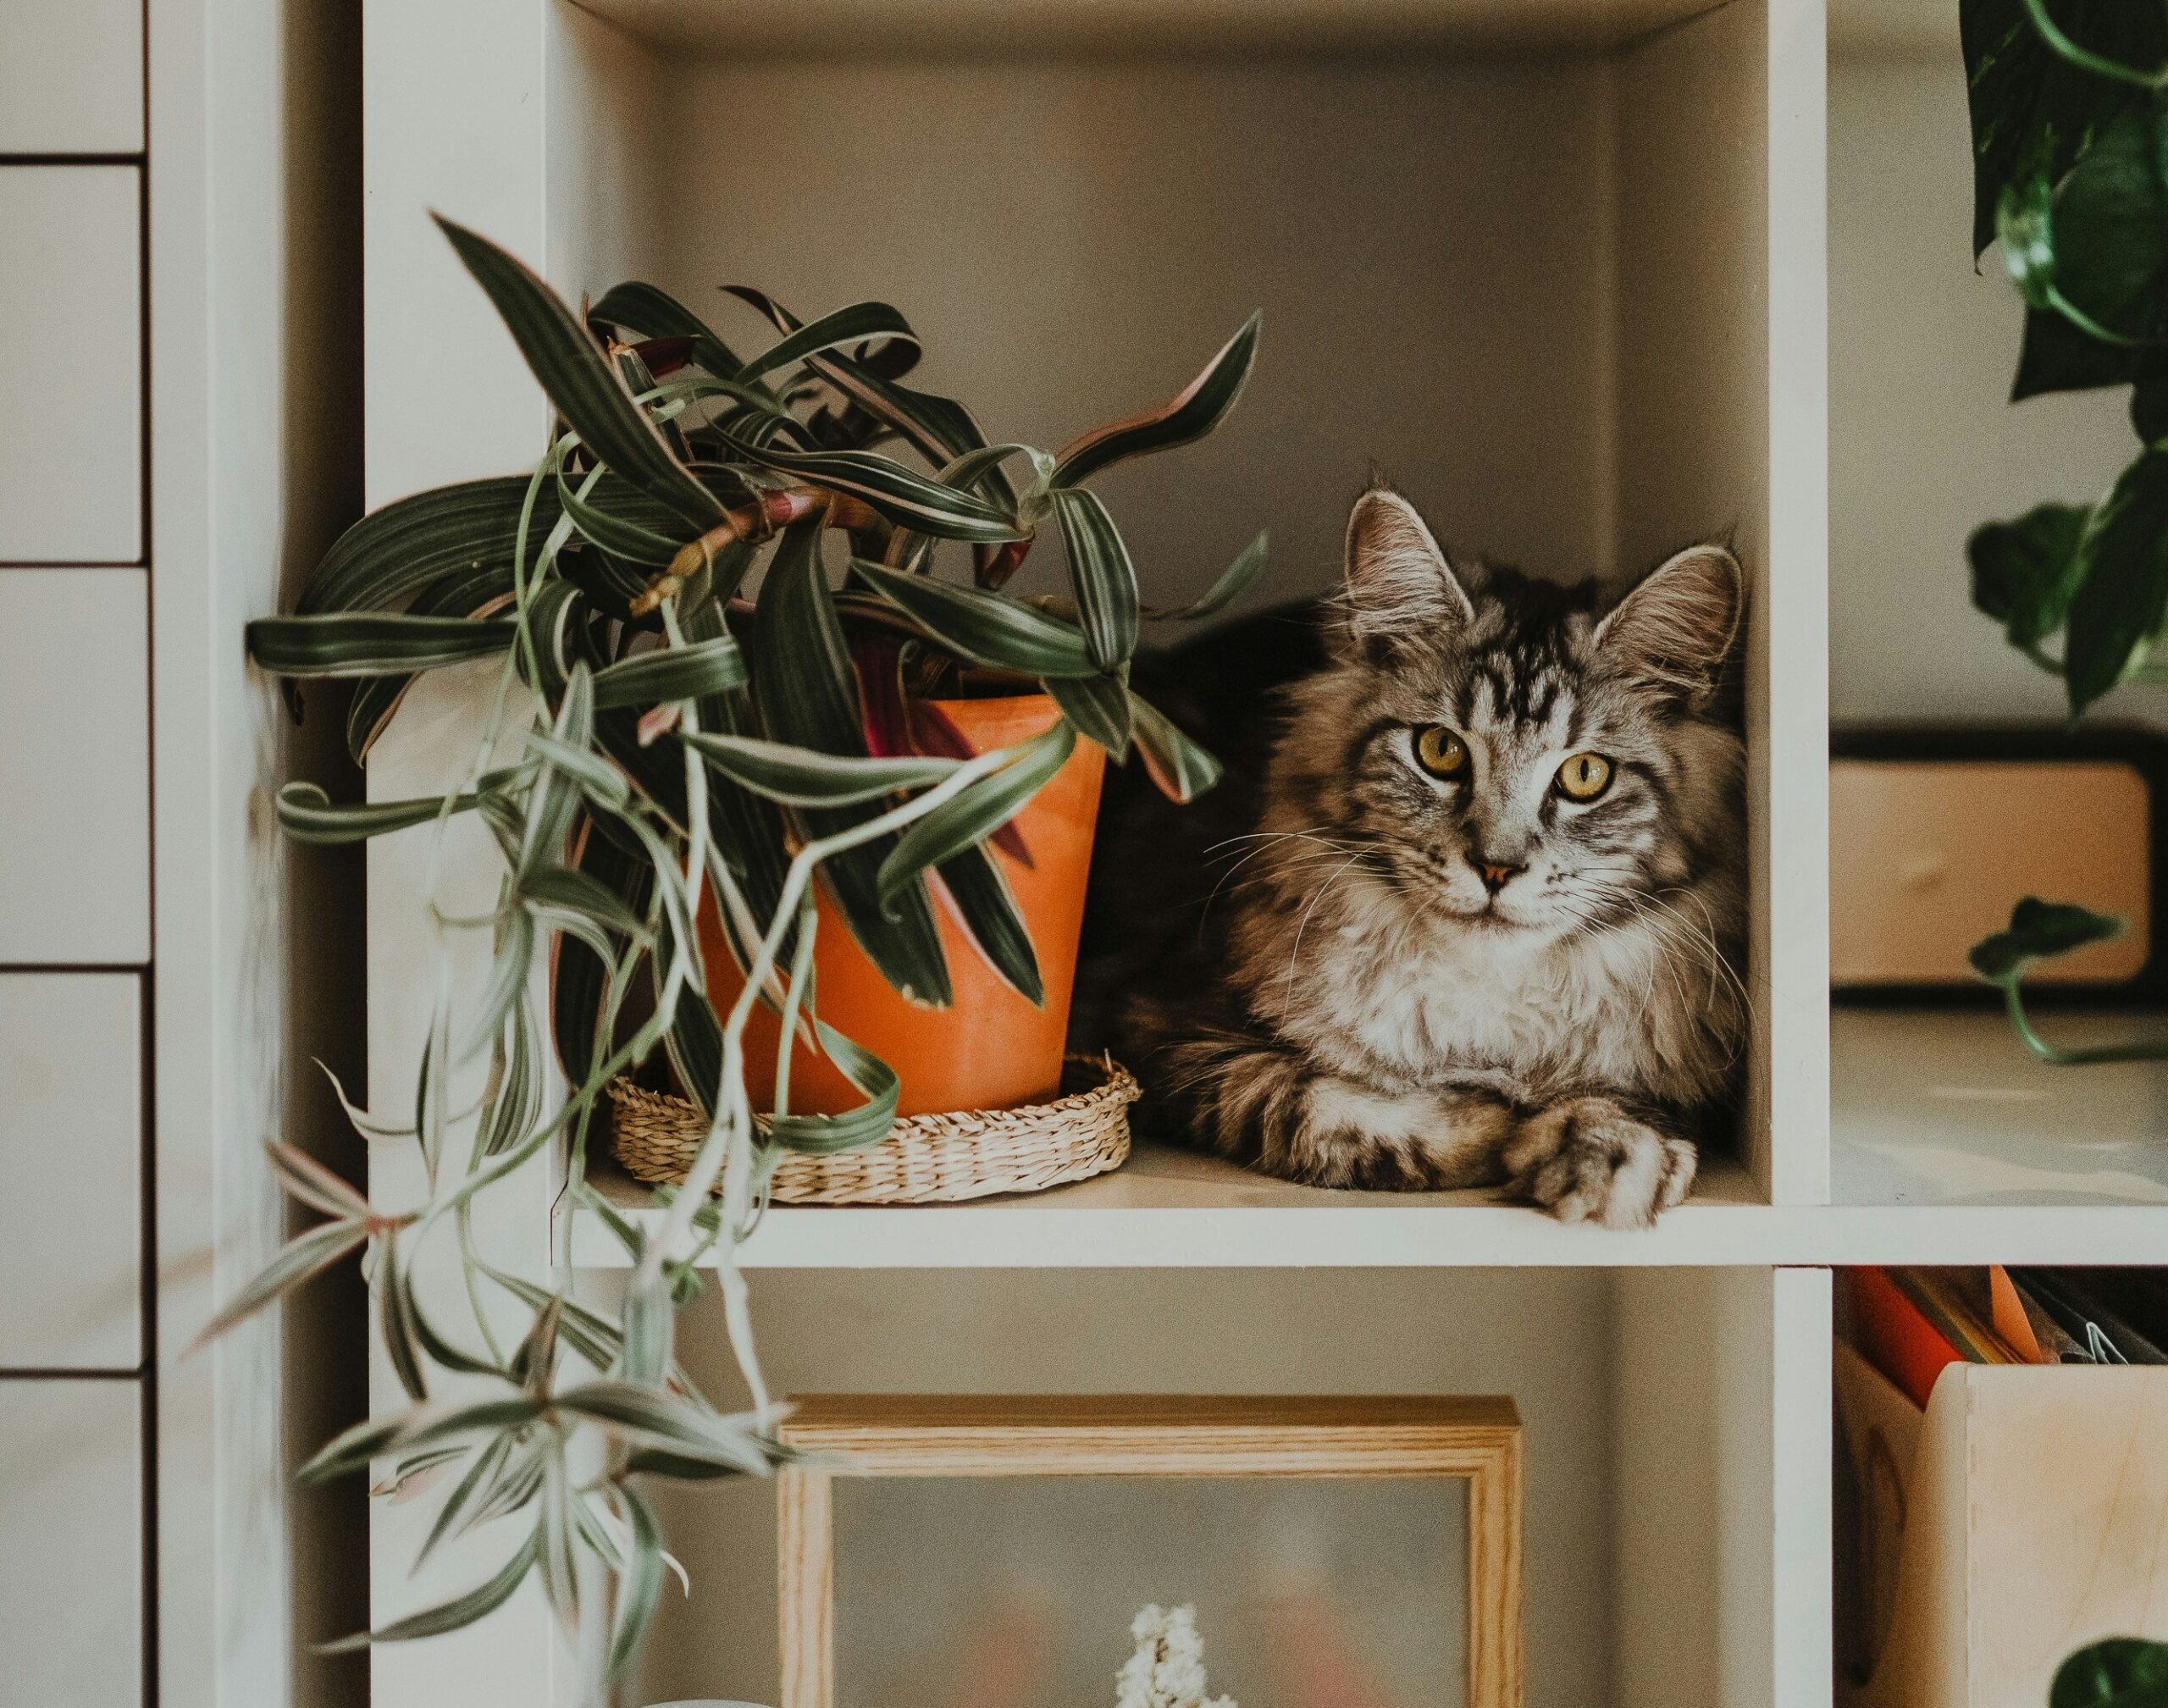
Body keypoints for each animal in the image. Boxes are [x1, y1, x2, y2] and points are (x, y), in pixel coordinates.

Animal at [1075, 487, 1751, 1222]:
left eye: (1585, 775)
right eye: (1440, 750)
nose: (1496, 867)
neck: (1486, 1008)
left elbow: (1621, 1101)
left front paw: (1612, 1157)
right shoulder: (1157, 1023)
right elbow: (1314, 1106)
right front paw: (1500, 1124)